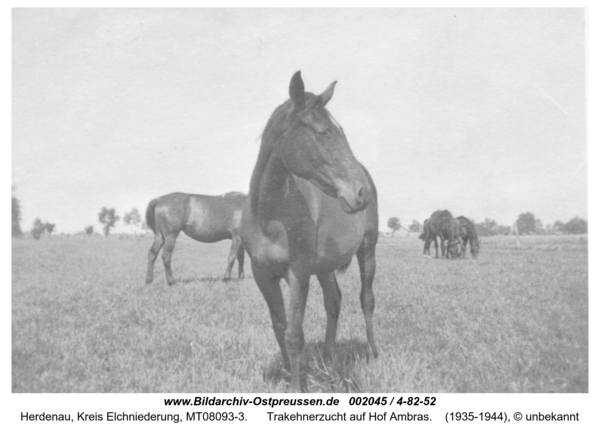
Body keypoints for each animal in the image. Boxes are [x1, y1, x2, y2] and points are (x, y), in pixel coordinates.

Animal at [240, 72, 378, 394]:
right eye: (322, 131)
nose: (361, 192)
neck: (270, 215)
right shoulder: (263, 276)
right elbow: (280, 328)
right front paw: (293, 374)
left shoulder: (298, 273)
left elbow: (294, 334)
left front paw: (296, 388)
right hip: (325, 267)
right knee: (334, 301)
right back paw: (328, 358)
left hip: (368, 249)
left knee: (366, 300)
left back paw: (372, 351)